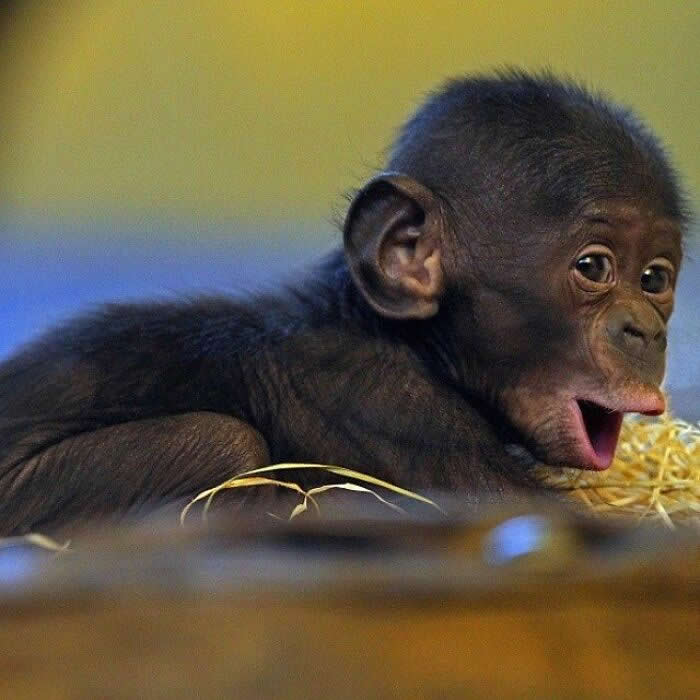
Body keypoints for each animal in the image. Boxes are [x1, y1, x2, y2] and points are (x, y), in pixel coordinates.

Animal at [0, 70, 687, 535]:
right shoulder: (388, 405)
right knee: (222, 446)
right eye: (593, 267)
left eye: (654, 279)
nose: (645, 330)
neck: (408, 340)